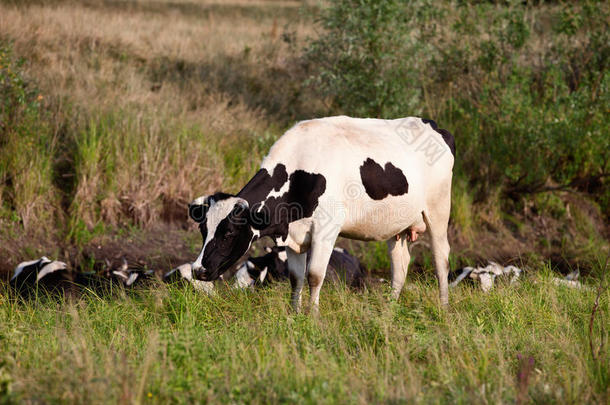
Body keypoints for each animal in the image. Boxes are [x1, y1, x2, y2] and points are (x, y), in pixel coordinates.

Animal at [189, 115, 452, 310]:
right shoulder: (292, 233)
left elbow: (314, 275)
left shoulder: (326, 230)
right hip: (395, 225)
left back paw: (443, 308)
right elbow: (296, 277)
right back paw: (389, 309)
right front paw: (294, 314)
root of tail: (432, 124)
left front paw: (312, 316)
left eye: (229, 233)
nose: (198, 270)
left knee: (441, 259)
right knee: (400, 265)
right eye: (203, 230)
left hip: (438, 209)